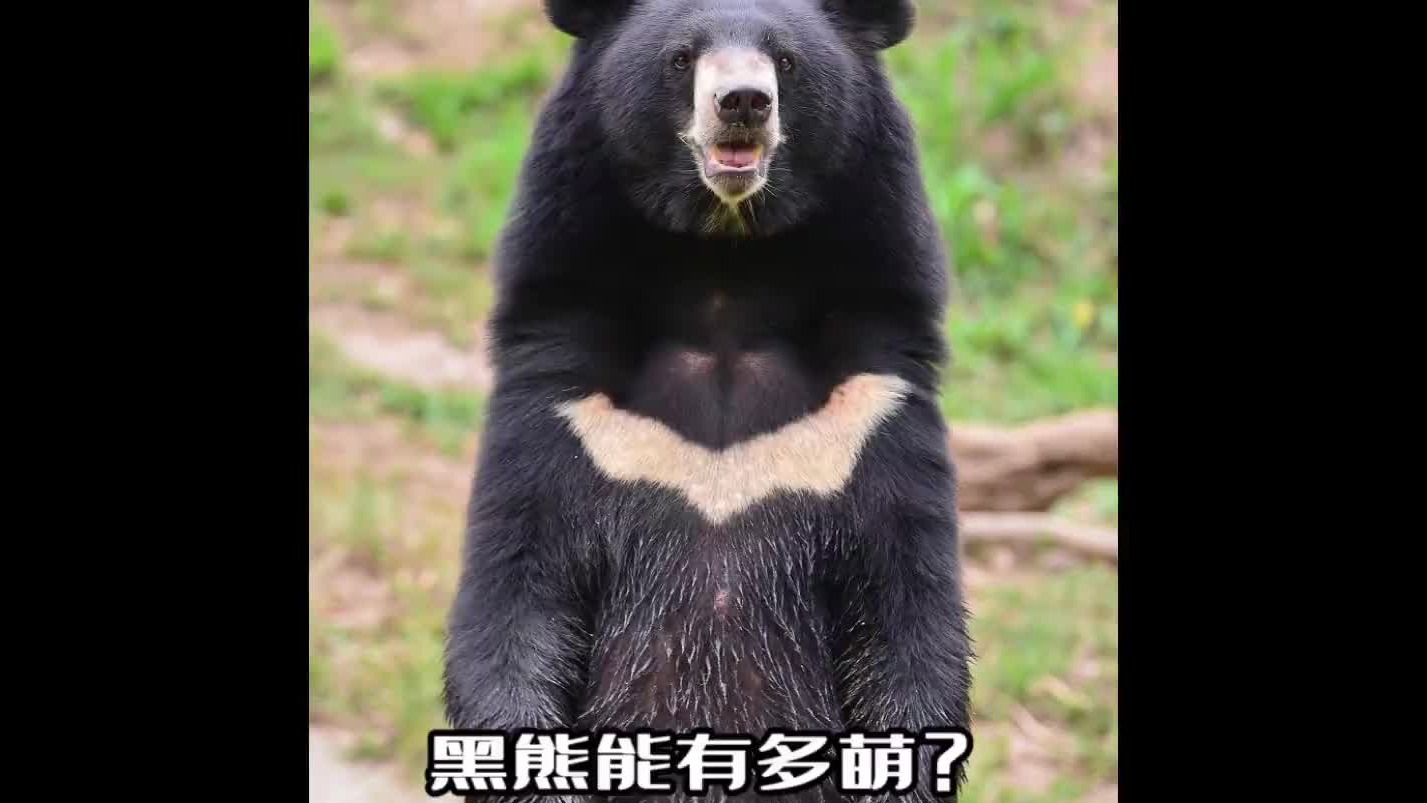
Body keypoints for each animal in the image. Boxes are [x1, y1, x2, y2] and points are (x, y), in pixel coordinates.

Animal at [440, 0, 973, 800]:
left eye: (786, 60)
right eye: (681, 57)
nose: (743, 102)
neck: (725, 267)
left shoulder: (873, 409)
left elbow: (907, 614)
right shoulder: (559, 406)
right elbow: (514, 595)